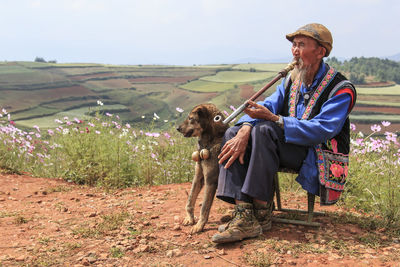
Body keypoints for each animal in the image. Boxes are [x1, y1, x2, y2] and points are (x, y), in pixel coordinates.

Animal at [176, 103, 228, 233]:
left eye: (191, 118)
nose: (177, 128)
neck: (209, 143)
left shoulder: (210, 180)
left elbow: (204, 207)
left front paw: (199, 225)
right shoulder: (198, 176)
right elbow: (190, 200)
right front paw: (189, 218)